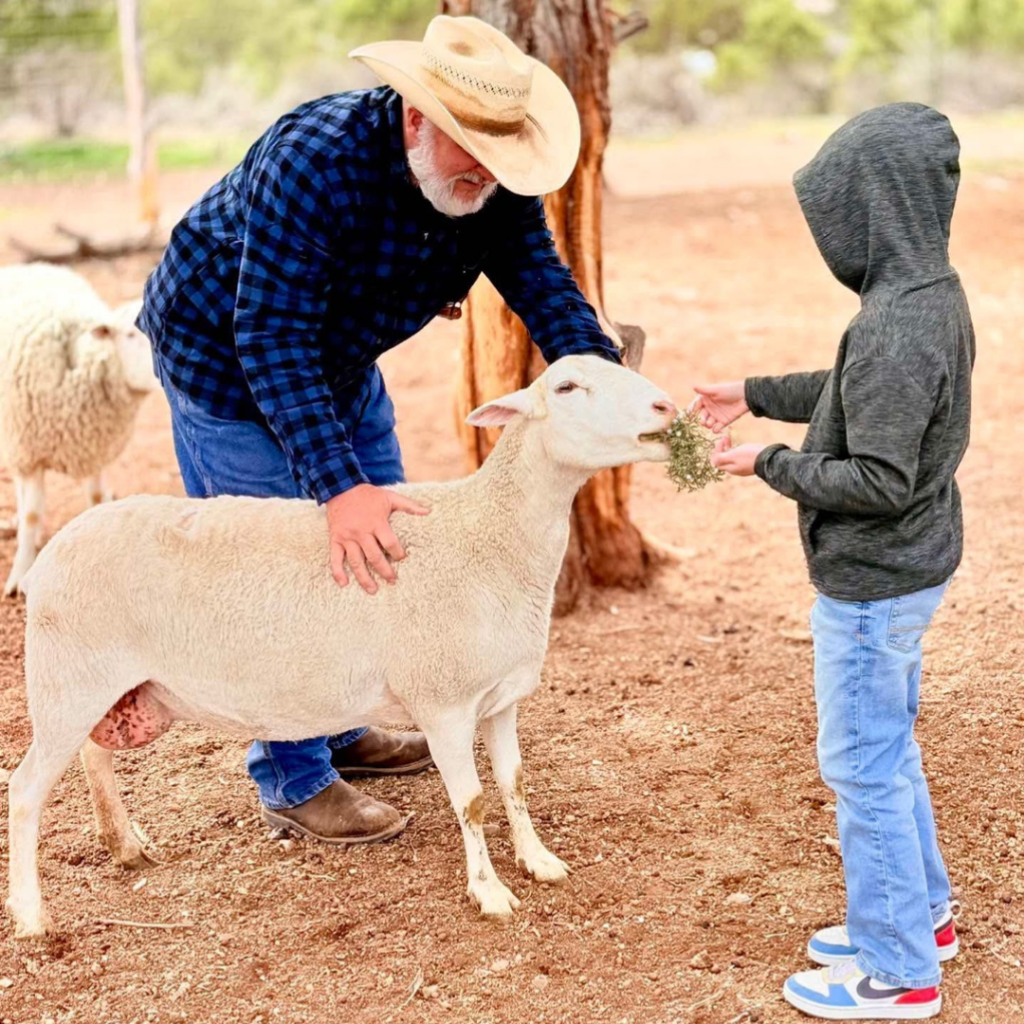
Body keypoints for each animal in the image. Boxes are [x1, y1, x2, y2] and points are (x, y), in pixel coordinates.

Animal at [0, 263, 158, 597]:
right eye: (129, 334)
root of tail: (27, 267)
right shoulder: (29, 450)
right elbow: (31, 514)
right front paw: (20, 572)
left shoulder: (94, 447)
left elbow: (96, 498)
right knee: (22, 492)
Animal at [4, 353, 677, 938]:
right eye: (566, 388)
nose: (667, 405)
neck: (490, 533)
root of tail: (54, 550)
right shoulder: (443, 701)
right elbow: (474, 802)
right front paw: (489, 892)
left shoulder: (500, 697)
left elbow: (514, 783)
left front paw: (539, 860)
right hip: (67, 676)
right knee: (27, 788)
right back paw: (33, 915)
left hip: (110, 684)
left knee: (96, 753)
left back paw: (123, 844)